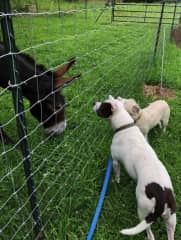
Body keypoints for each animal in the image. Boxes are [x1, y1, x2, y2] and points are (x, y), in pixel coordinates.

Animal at [94, 95, 176, 240]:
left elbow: (117, 175)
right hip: (171, 218)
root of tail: (162, 195)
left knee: (150, 232)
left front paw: (115, 182)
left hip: (143, 212)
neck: (125, 126)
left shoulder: (115, 161)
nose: (94, 103)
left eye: (102, 106)